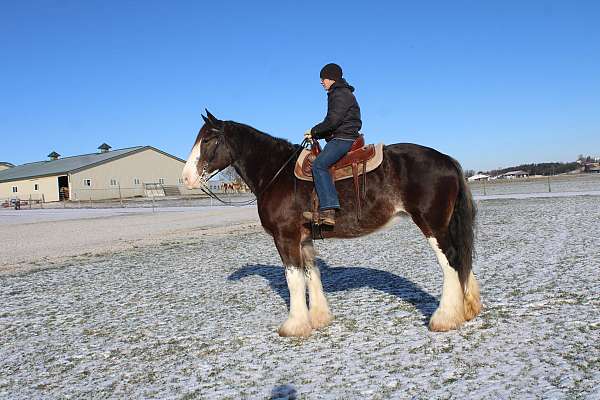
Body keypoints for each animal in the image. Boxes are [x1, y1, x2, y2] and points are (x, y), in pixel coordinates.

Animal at [180, 110, 480, 338]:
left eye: (208, 140)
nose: (185, 179)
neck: (276, 173)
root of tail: (447, 160)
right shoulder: (304, 239)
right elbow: (311, 274)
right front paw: (319, 318)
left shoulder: (285, 237)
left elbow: (293, 279)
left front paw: (294, 326)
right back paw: (467, 310)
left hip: (432, 226)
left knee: (451, 262)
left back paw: (444, 318)